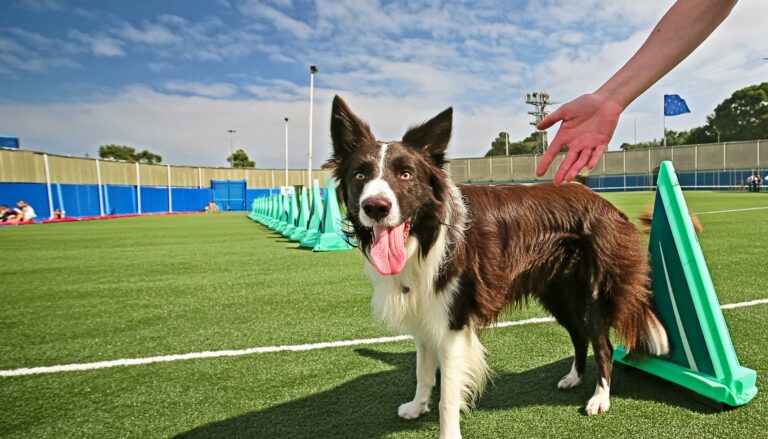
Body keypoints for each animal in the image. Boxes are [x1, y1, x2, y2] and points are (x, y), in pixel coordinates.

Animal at [328, 96, 668, 439]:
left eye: (406, 175)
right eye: (359, 175)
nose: (375, 207)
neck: (425, 236)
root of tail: (600, 199)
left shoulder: (453, 321)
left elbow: (448, 398)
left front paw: (446, 432)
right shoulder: (425, 311)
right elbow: (423, 371)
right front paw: (416, 406)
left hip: (590, 294)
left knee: (603, 344)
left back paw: (600, 398)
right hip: (559, 293)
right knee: (579, 335)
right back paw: (573, 378)